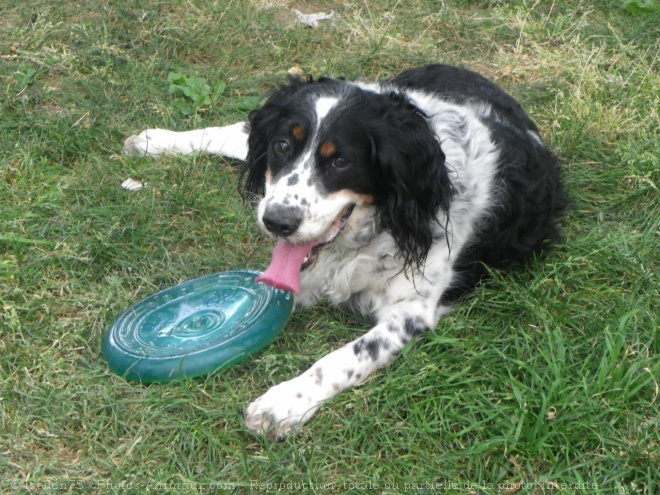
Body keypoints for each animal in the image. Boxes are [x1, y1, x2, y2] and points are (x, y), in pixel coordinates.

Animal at [124, 64, 568, 440]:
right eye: (282, 145)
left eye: (340, 161)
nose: (277, 221)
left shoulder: (410, 311)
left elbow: (340, 358)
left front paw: (283, 403)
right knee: (242, 130)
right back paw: (153, 140)